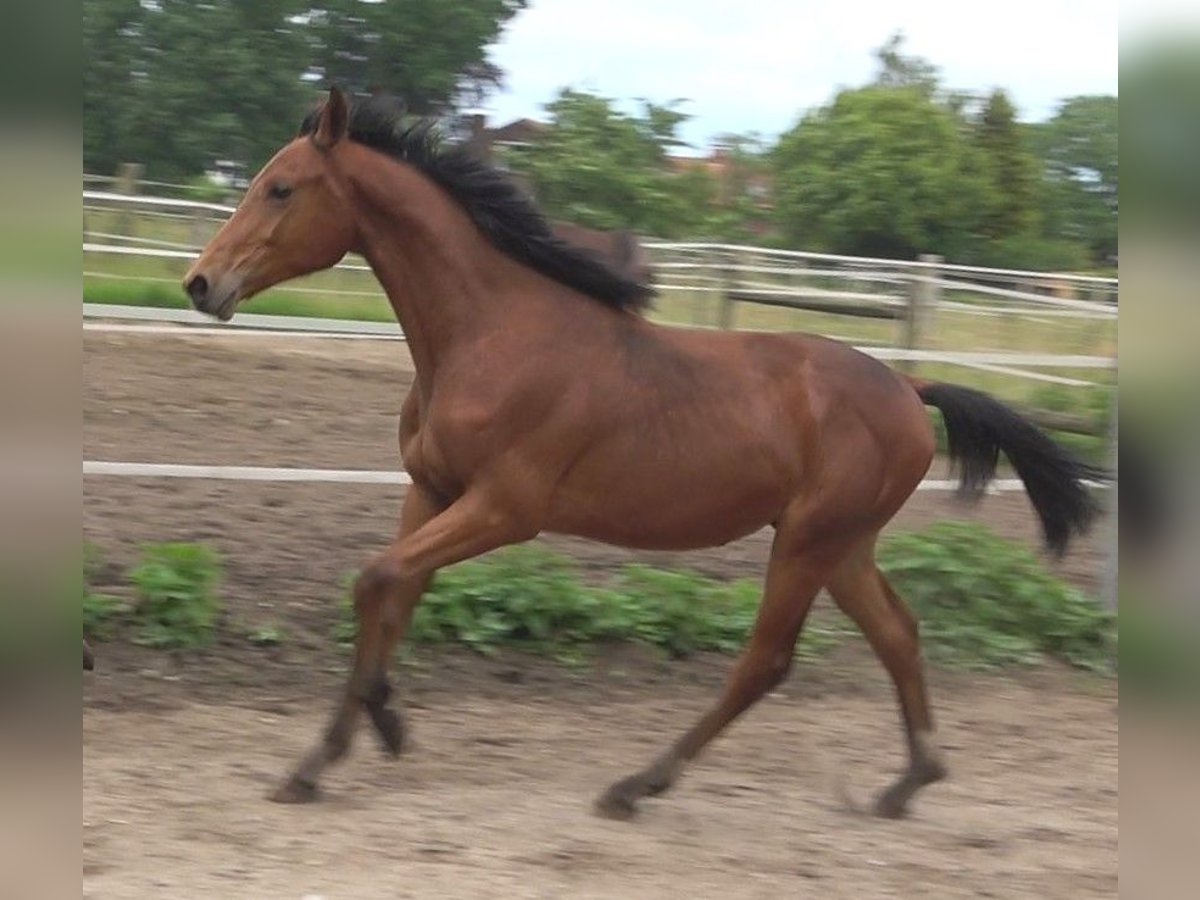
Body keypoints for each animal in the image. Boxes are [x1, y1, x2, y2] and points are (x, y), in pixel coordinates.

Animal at [182, 88, 1108, 820]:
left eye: (281, 187)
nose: (200, 283)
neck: (491, 334)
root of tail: (910, 388)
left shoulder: (505, 509)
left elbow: (376, 580)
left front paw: (383, 722)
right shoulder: (431, 492)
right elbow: (390, 594)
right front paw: (323, 759)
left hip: (808, 541)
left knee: (766, 661)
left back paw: (638, 784)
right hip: (844, 545)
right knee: (900, 634)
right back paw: (909, 781)